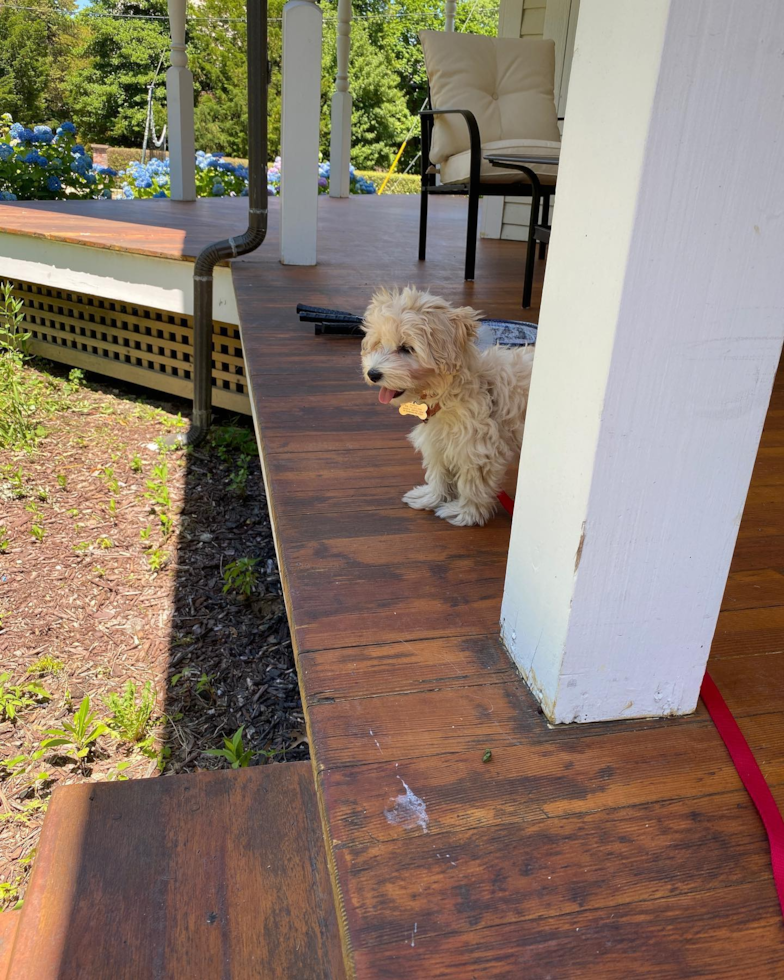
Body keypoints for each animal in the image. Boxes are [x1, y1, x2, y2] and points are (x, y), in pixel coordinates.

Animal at [360, 286, 532, 528]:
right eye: (378, 343)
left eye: (406, 348)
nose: (373, 373)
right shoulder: (437, 440)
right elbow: (438, 473)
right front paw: (430, 497)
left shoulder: (477, 447)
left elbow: (473, 485)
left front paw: (465, 513)